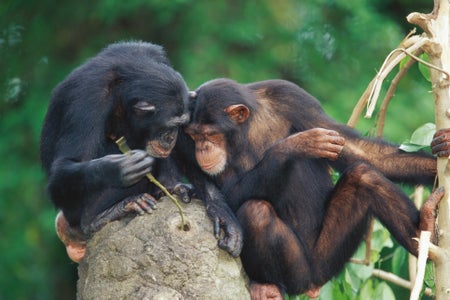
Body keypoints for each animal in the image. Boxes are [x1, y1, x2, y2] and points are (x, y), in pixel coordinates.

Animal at [40, 40, 192, 262]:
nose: (171, 137)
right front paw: (120, 168)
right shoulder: (87, 97)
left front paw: (172, 186)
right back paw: (101, 216)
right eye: (167, 126)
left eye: (180, 125)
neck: (122, 89)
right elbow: (63, 169)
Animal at [184, 78, 446, 298]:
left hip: (329, 258)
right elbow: (225, 197)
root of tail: (315, 284)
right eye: (194, 136)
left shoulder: (293, 96)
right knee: (256, 212)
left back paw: (424, 231)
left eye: (209, 134)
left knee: (364, 176)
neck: (247, 128)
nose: (202, 149)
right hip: (301, 273)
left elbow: (360, 151)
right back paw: (267, 286)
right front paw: (296, 145)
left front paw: (444, 148)